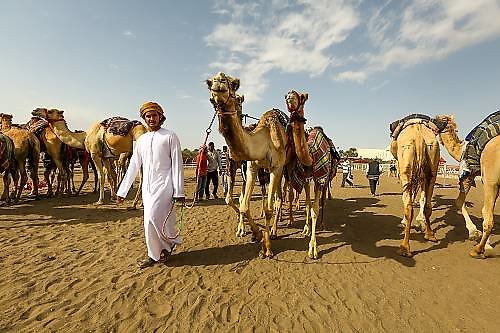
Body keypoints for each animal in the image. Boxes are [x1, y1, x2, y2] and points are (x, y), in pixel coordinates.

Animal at [388, 118, 440, 255]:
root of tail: (418, 135)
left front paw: (404, 222)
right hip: (433, 160)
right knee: (428, 204)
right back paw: (430, 235)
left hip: (406, 162)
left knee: (408, 206)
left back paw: (404, 248)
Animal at [434, 114, 496, 256]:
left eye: (439, 119)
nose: (432, 122)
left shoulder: (468, 174)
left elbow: (459, 201)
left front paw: (474, 233)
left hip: (491, 179)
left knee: (488, 215)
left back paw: (478, 250)